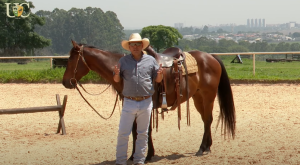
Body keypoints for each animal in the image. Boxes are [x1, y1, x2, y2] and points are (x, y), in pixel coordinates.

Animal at [62, 40, 236, 161]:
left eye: (71, 60)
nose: (65, 82)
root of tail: (210, 57)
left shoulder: (147, 105)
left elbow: (144, 130)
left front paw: (146, 155)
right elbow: (134, 130)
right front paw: (135, 156)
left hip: (208, 96)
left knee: (208, 119)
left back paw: (201, 148)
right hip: (197, 97)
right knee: (206, 119)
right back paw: (206, 147)